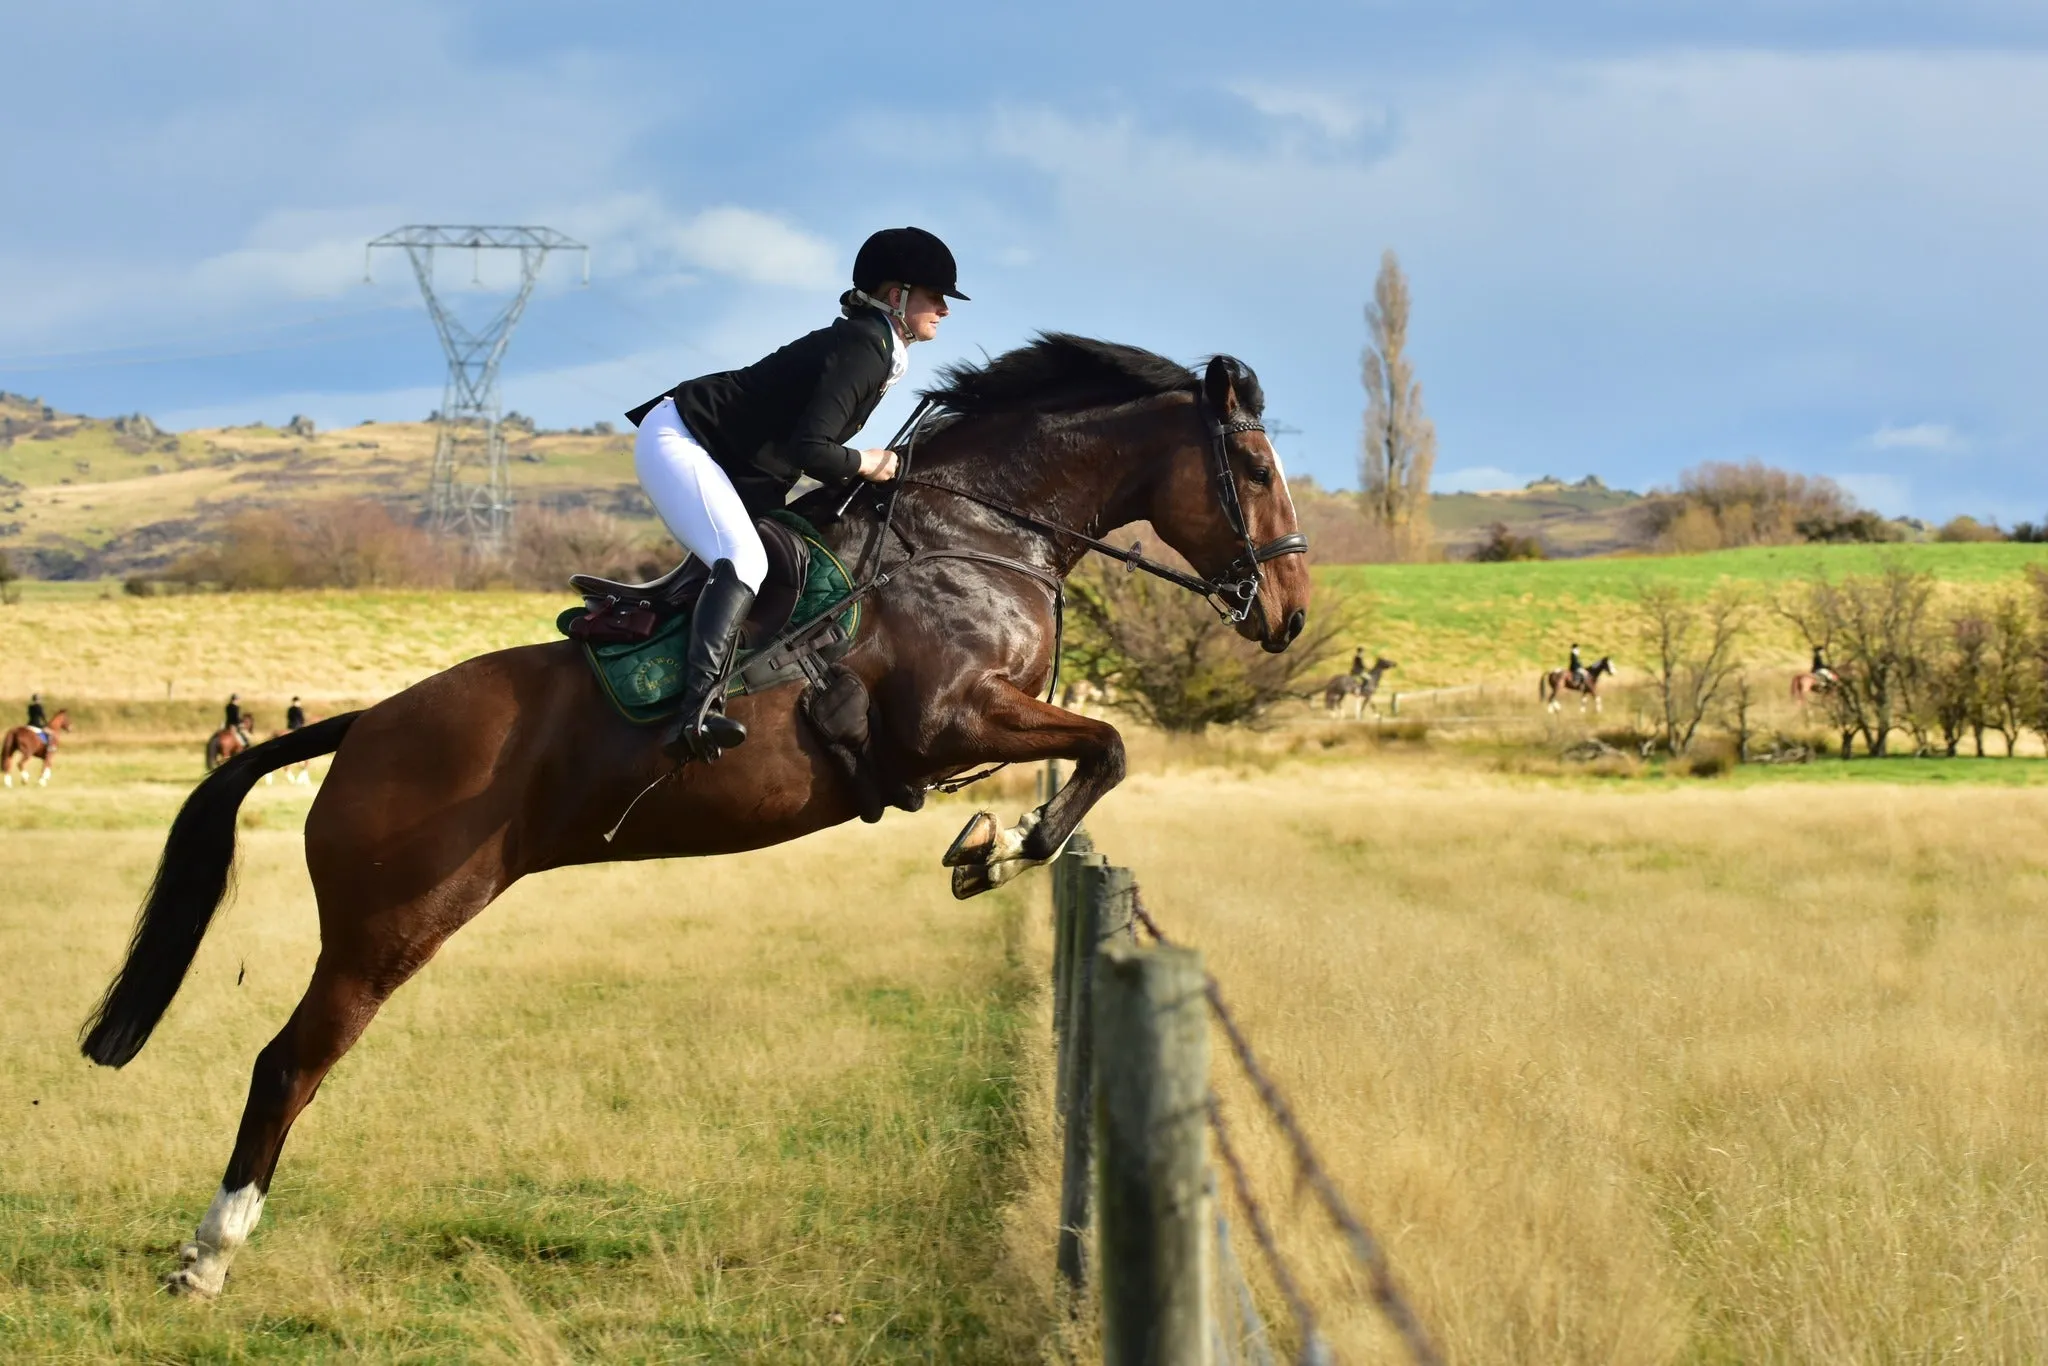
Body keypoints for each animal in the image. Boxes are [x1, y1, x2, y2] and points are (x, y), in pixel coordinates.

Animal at [75, 335, 1310, 1302]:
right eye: (1251, 466)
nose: (1290, 614)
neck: (980, 534)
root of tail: (367, 723)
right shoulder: (949, 721)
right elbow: (1108, 745)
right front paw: (996, 853)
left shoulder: (978, 726)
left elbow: (1098, 749)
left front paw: (988, 845)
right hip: (390, 921)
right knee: (289, 1063)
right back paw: (208, 1253)